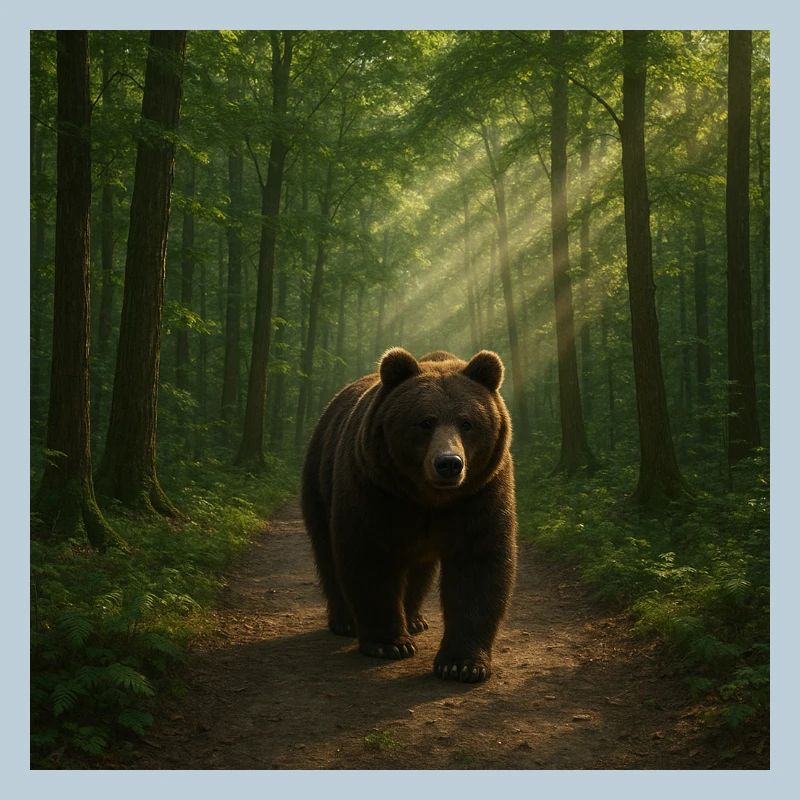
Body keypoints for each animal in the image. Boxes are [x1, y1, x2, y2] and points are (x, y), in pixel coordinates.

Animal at [301, 347, 517, 683]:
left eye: (467, 422)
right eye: (426, 421)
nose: (449, 463)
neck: (428, 497)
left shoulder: (480, 494)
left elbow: (478, 564)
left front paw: (462, 664)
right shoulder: (376, 488)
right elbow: (368, 556)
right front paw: (389, 643)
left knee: (420, 569)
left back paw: (414, 619)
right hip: (319, 480)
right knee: (327, 552)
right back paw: (345, 621)